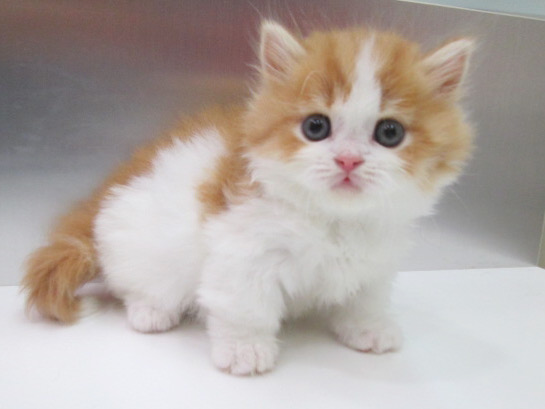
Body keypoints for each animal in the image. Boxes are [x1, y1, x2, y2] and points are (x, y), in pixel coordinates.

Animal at [22, 21, 474, 375]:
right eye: (316, 127)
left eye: (389, 133)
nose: (348, 159)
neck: (332, 219)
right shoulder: (241, 249)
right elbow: (245, 306)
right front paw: (245, 350)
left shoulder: (377, 257)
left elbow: (366, 296)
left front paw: (368, 327)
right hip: (143, 240)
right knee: (136, 280)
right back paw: (151, 311)